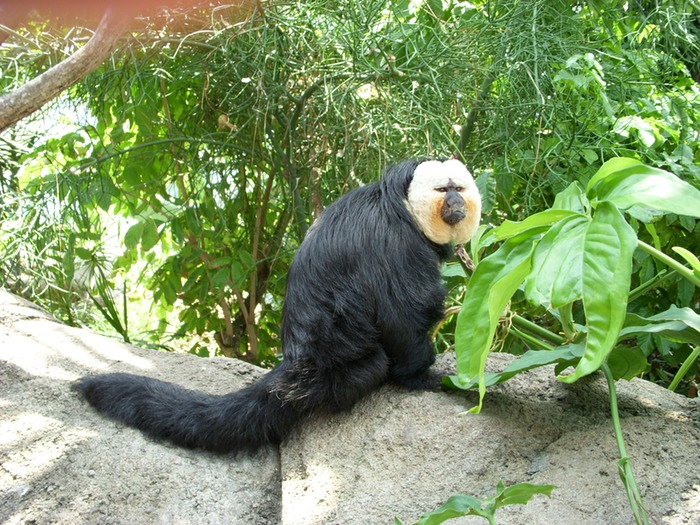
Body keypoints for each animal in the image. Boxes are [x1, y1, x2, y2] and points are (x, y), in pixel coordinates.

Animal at [75, 158, 481, 453]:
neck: (403, 207)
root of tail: (296, 362)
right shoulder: (397, 243)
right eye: (443, 189)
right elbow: (403, 314)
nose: (456, 202)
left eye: (459, 188)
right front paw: (421, 376)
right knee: (374, 363)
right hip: (338, 370)